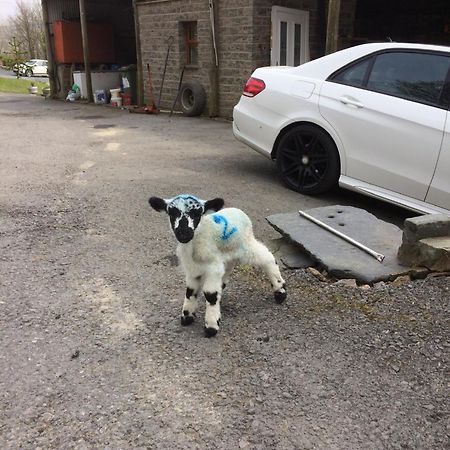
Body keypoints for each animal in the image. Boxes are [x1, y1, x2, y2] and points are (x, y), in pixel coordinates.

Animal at [149, 194, 286, 338]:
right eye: (171, 213)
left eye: (198, 213)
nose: (183, 233)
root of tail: (239, 211)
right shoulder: (193, 270)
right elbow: (190, 291)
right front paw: (187, 317)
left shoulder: (212, 267)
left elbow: (210, 294)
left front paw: (211, 327)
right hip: (228, 254)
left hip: (246, 244)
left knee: (267, 258)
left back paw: (280, 291)